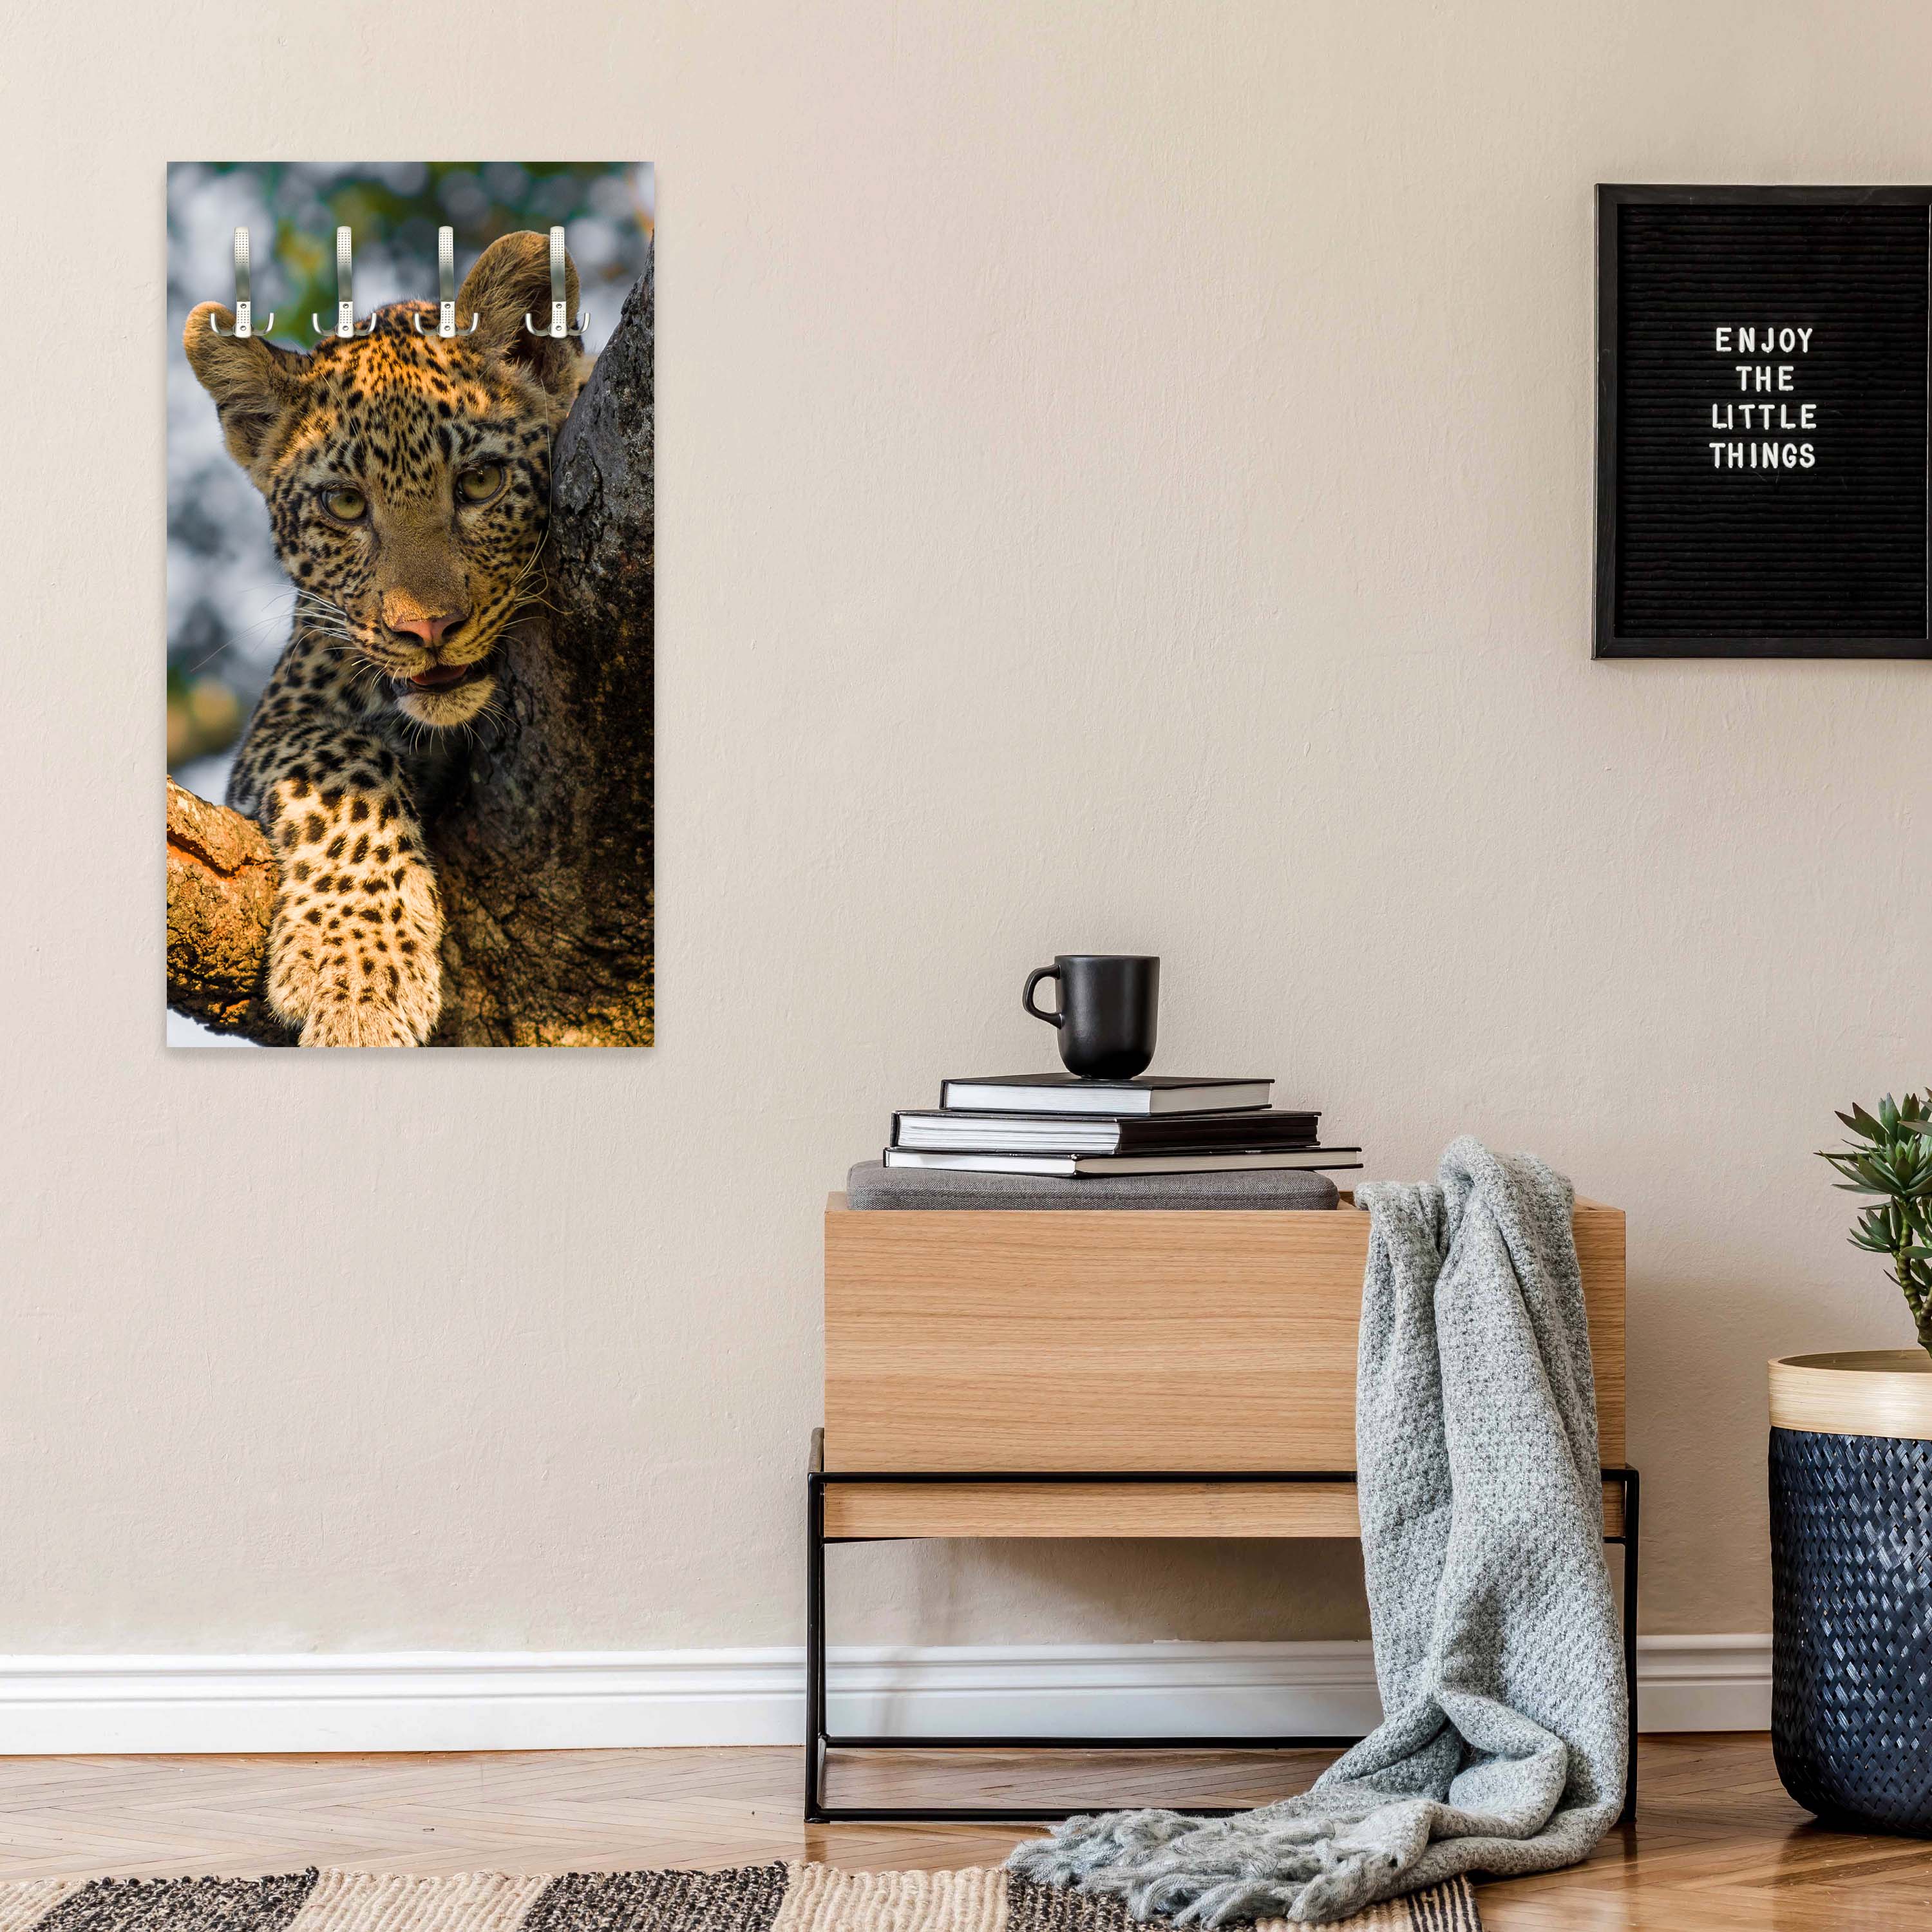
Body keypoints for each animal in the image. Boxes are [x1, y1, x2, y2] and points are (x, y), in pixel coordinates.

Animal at [184, 232, 590, 1046]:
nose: (426, 628)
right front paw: (358, 977)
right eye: (344, 504)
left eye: (480, 482)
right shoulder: (281, 718)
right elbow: (345, 761)